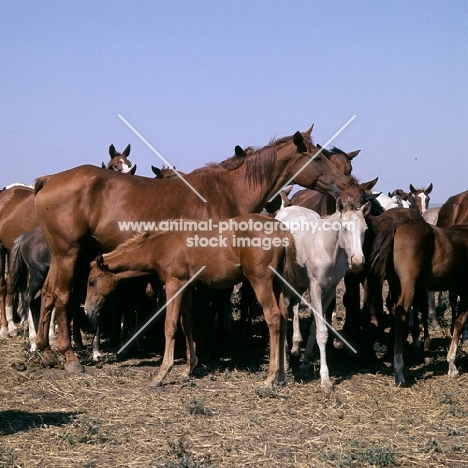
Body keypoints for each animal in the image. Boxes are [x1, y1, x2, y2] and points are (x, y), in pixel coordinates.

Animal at [83, 214, 296, 386]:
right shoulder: (186, 287)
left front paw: (162, 373)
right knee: (283, 317)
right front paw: (189, 368)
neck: (162, 245)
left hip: (260, 281)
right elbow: (187, 323)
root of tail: (280, 230)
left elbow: (170, 325)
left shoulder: (173, 284)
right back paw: (282, 375)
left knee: (273, 317)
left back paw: (270, 377)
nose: (87, 310)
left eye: (92, 281)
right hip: (277, 284)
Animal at [274, 198, 370, 392]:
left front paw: (304, 364)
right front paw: (325, 380)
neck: (327, 249)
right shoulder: (315, 290)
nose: (357, 261)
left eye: (365, 230)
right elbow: (322, 332)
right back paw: (285, 363)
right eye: (344, 228)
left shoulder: (330, 291)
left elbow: (314, 327)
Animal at [372, 216, 468, 384]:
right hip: (409, 284)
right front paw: (452, 365)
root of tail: (396, 227)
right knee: (401, 314)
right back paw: (399, 372)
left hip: (395, 284)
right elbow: (459, 323)